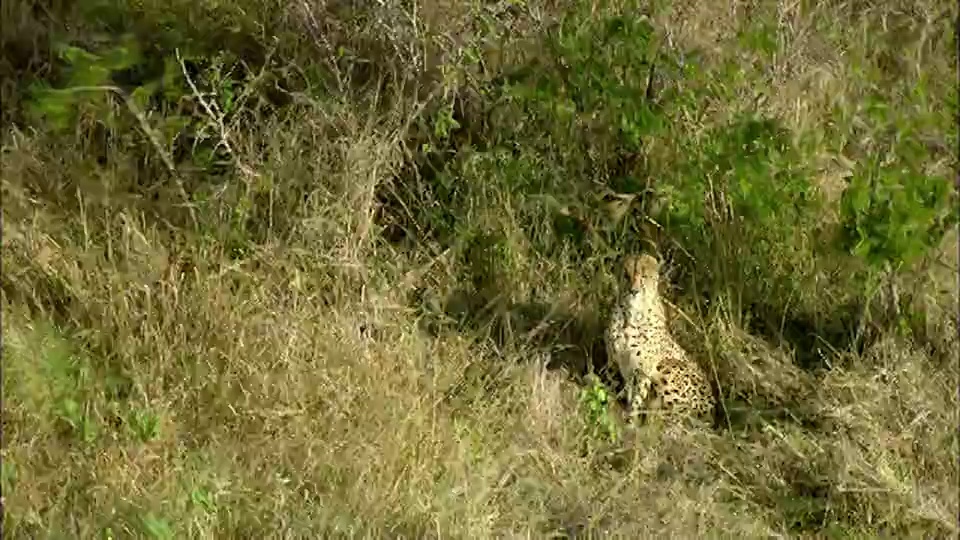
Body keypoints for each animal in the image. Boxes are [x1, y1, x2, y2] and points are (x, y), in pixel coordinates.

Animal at [604, 253, 716, 426]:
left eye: (643, 276)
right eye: (626, 275)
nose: (633, 291)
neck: (632, 314)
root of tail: (712, 414)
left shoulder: (645, 368)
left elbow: (637, 397)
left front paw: (630, 421)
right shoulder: (613, 358)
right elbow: (610, 383)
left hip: (666, 366)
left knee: (677, 415)